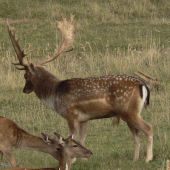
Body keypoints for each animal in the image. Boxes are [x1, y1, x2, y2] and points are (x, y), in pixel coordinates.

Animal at [6, 13, 153, 162]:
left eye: (25, 76)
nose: (24, 89)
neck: (54, 94)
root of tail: (142, 85)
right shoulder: (84, 119)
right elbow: (82, 139)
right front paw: (84, 159)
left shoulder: (71, 115)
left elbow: (72, 137)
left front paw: (72, 160)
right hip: (128, 113)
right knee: (137, 134)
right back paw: (135, 159)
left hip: (128, 111)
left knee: (148, 128)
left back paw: (148, 158)